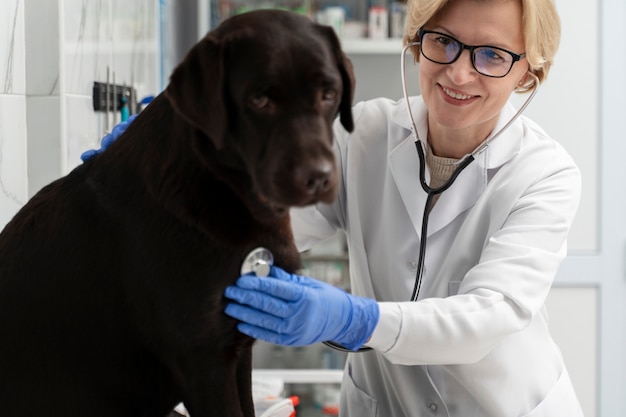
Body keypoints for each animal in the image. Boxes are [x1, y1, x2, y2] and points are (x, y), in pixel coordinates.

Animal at [0, 9, 352, 416]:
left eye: (329, 94)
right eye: (259, 100)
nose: (319, 178)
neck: (221, 186)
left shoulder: (238, 345)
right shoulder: (204, 360)